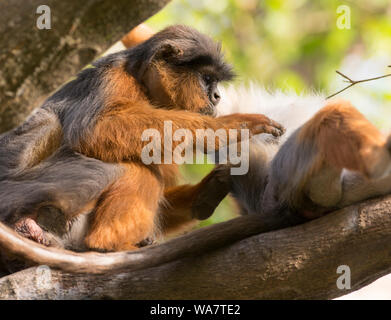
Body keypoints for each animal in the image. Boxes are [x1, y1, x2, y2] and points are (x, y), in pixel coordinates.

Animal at [0, 23, 284, 270]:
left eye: (215, 83)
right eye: (207, 79)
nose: (216, 96)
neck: (143, 86)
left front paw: (207, 192)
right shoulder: (113, 77)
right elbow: (91, 130)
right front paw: (228, 127)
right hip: (18, 193)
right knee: (121, 165)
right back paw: (104, 245)